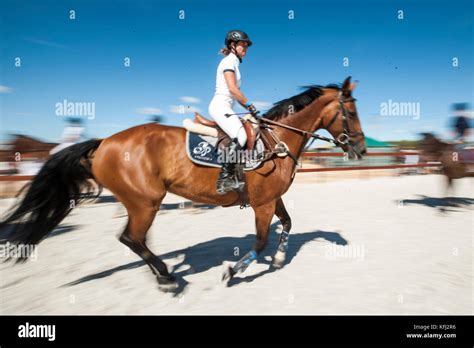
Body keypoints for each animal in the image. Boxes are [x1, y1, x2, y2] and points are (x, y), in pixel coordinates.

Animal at [0, 76, 366, 290]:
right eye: (351, 112)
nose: (361, 149)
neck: (278, 140)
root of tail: (104, 142)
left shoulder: (272, 199)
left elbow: (288, 224)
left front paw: (277, 260)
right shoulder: (262, 204)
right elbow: (261, 241)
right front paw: (233, 272)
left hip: (143, 203)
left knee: (136, 239)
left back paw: (164, 272)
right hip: (146, 201)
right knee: (131, 237)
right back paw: (167, 277)